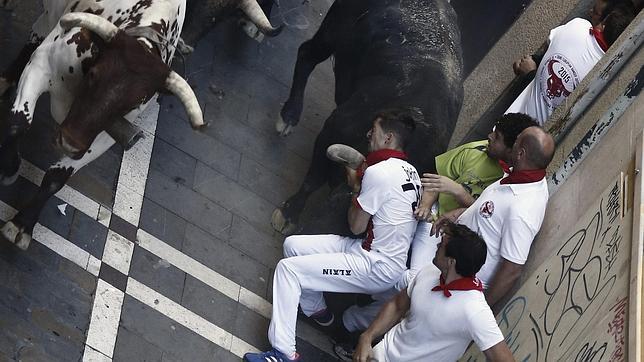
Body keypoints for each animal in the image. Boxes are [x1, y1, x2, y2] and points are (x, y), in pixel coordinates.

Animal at [0, 0, 205, 249]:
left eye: (135, 102)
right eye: (94, 75)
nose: (68, 142)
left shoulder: (103, 136)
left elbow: (56, 178)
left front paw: (23, 224)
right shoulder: (41, 64)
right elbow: (18, 124)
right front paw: (9, 168)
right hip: (48, 20)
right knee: (37, 32)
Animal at [272, 0, 462, 235]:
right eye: (345, 202)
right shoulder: (334, 127)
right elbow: (313, 180)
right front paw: (288, 214)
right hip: (332, 31)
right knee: (307, 54)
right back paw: (288, 116)